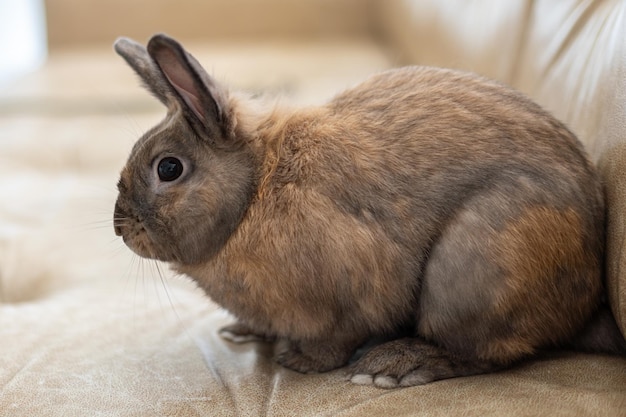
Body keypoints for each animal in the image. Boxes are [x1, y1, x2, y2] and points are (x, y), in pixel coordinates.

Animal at [113, 34, 624, 388]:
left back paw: (397, 366)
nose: (120, 228)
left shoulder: (346, 299)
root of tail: (587, 307)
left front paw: (299, 362)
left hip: (471, 271)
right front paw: (245, 332)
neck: (256, 190)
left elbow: (335, 343)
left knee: (486, 352)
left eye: (169, 168)